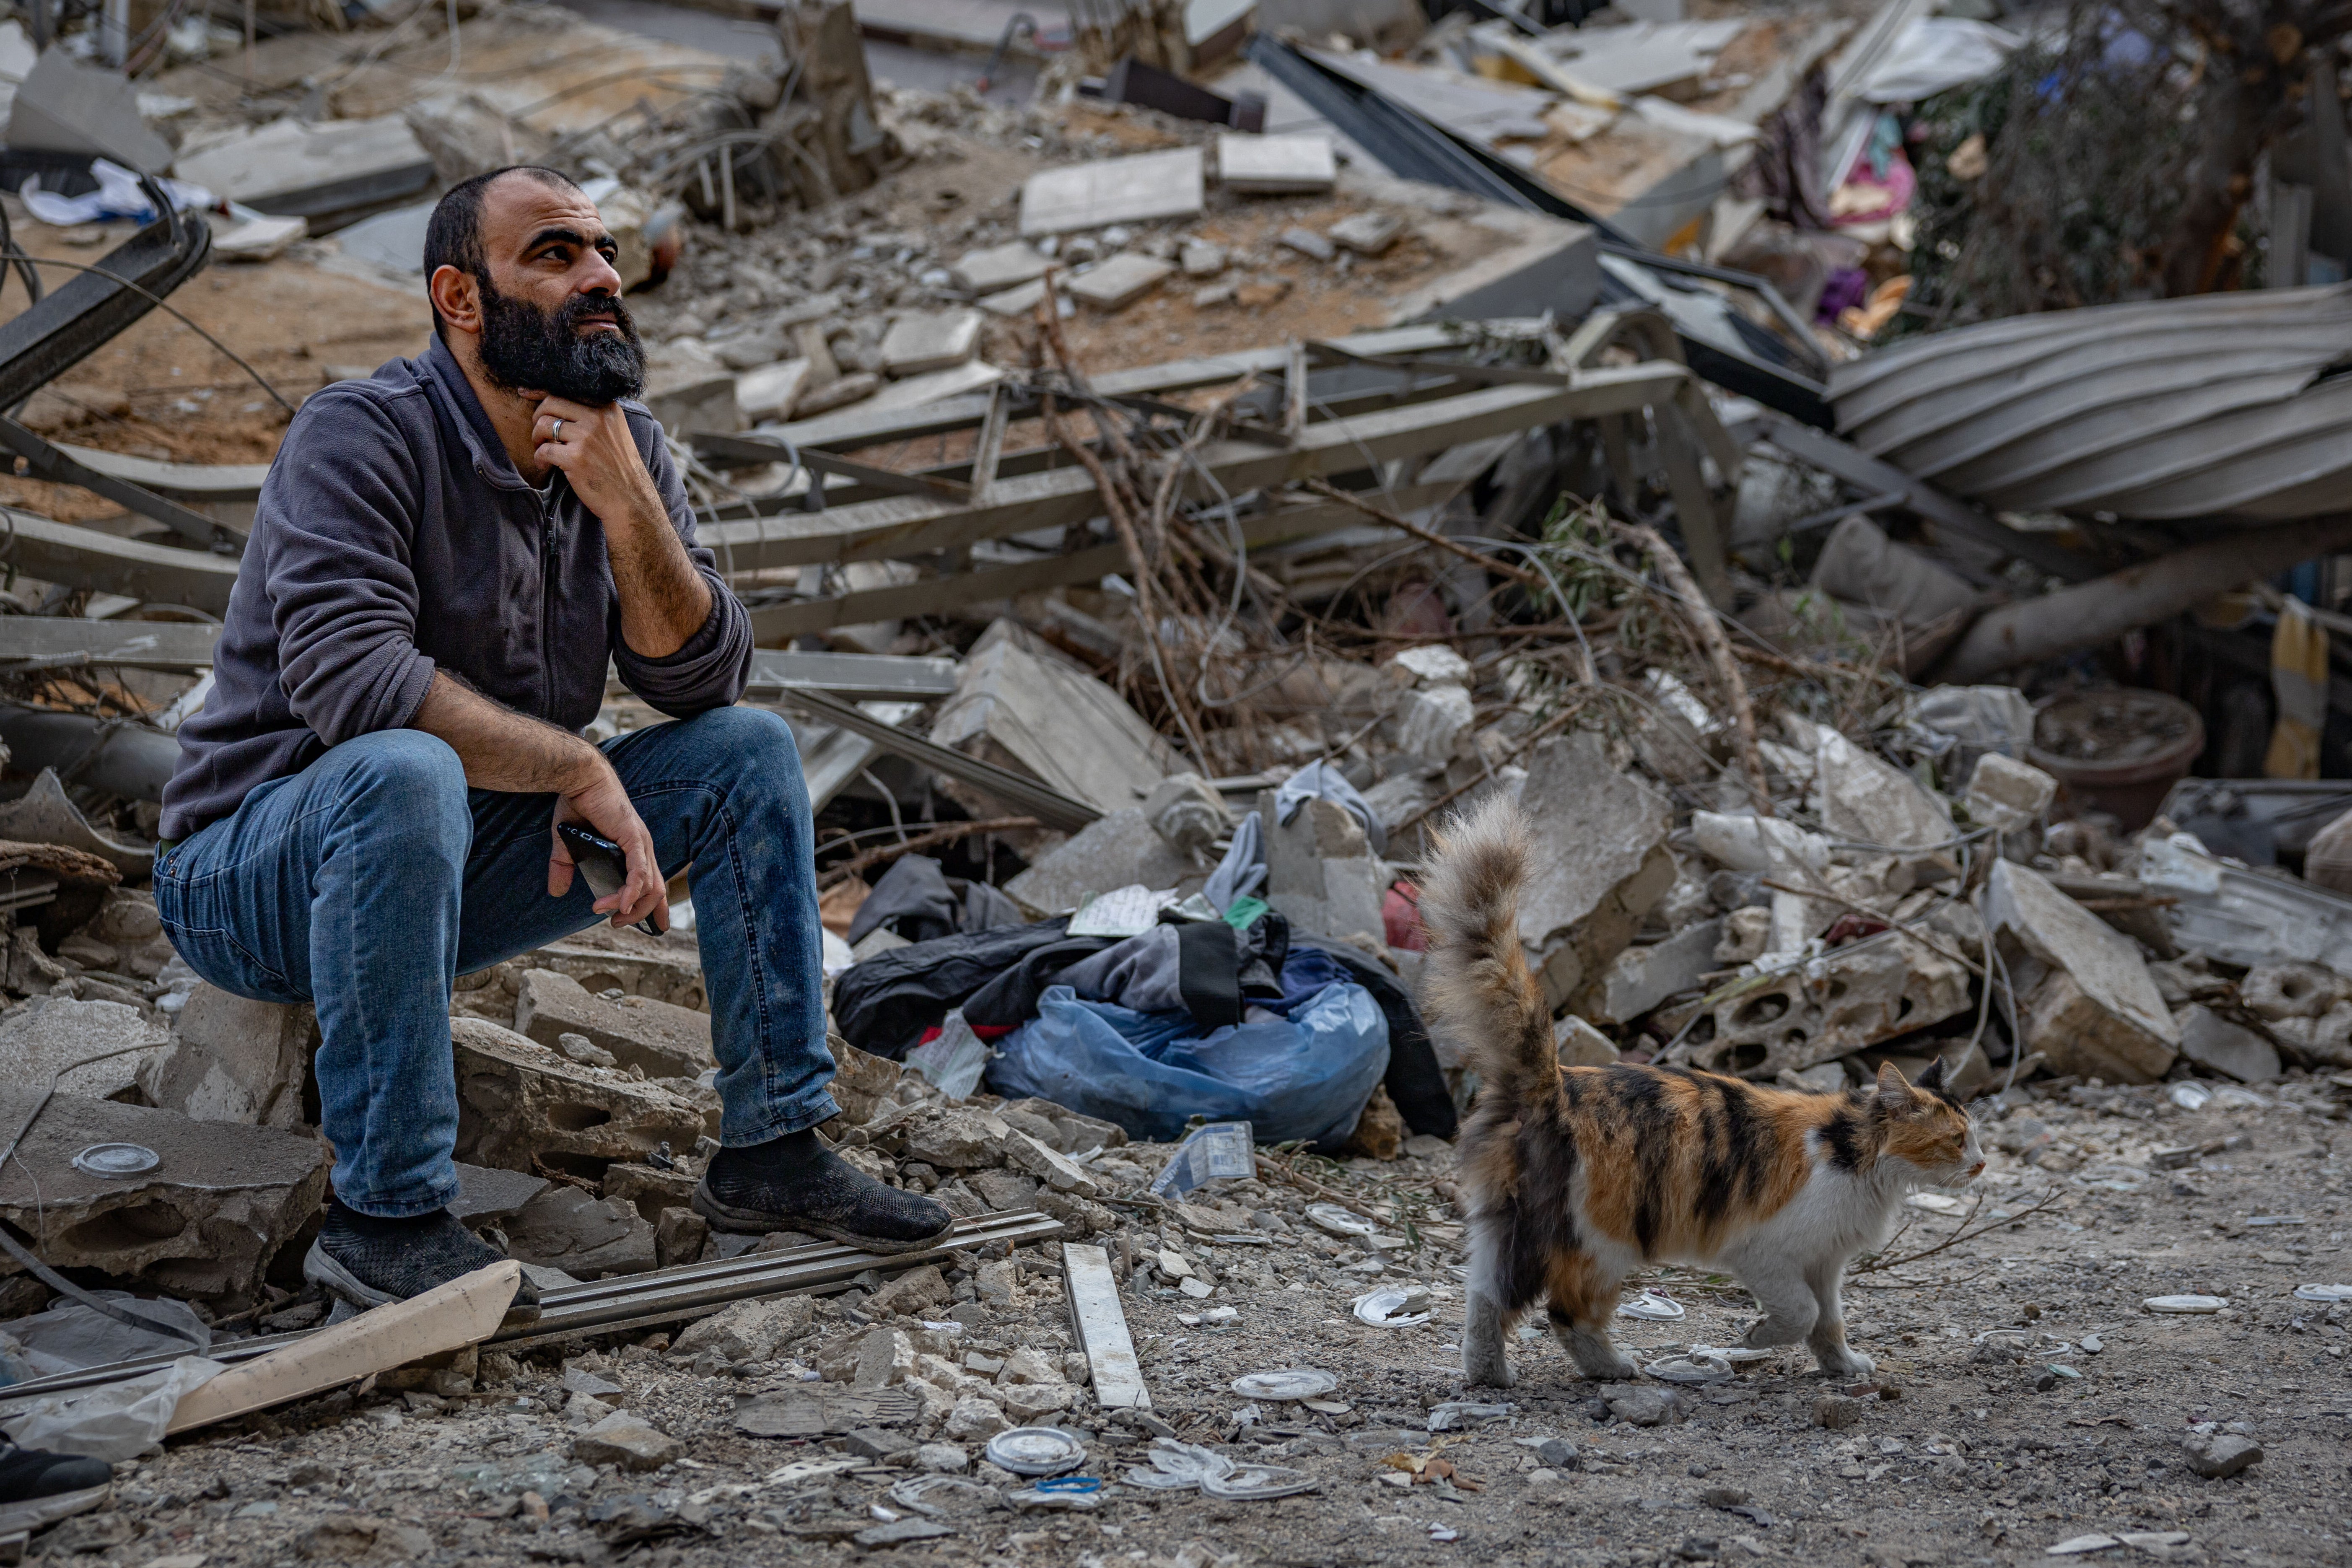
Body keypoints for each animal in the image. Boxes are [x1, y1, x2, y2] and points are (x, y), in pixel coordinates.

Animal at [1411, 799, 1985, 1382]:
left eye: (1974, 1137)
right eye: (1956, 1140)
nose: (1982, 1165)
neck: (1858, 1154)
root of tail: (1552, 1080)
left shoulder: (1825, 1261)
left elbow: (1828, 1321)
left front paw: (1841, 1365)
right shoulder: (1766, 1251)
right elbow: (1800, 1314)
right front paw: (1756, 1337)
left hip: (1507, 1225)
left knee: (1484, 1296)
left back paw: (1489, 1373)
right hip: (1595, 1240)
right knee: (1563, 1312)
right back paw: (1612, 1369)